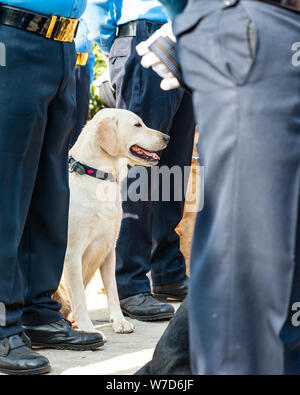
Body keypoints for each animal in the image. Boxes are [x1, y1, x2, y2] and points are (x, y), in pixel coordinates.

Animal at [54, 110, 169, 336]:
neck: (99, 178)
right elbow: (79, 297)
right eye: (137, 125)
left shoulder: (108, 249)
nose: (167, 137)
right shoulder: (72, 253)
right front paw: (87, 328)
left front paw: (119, 322)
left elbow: (113, 291)